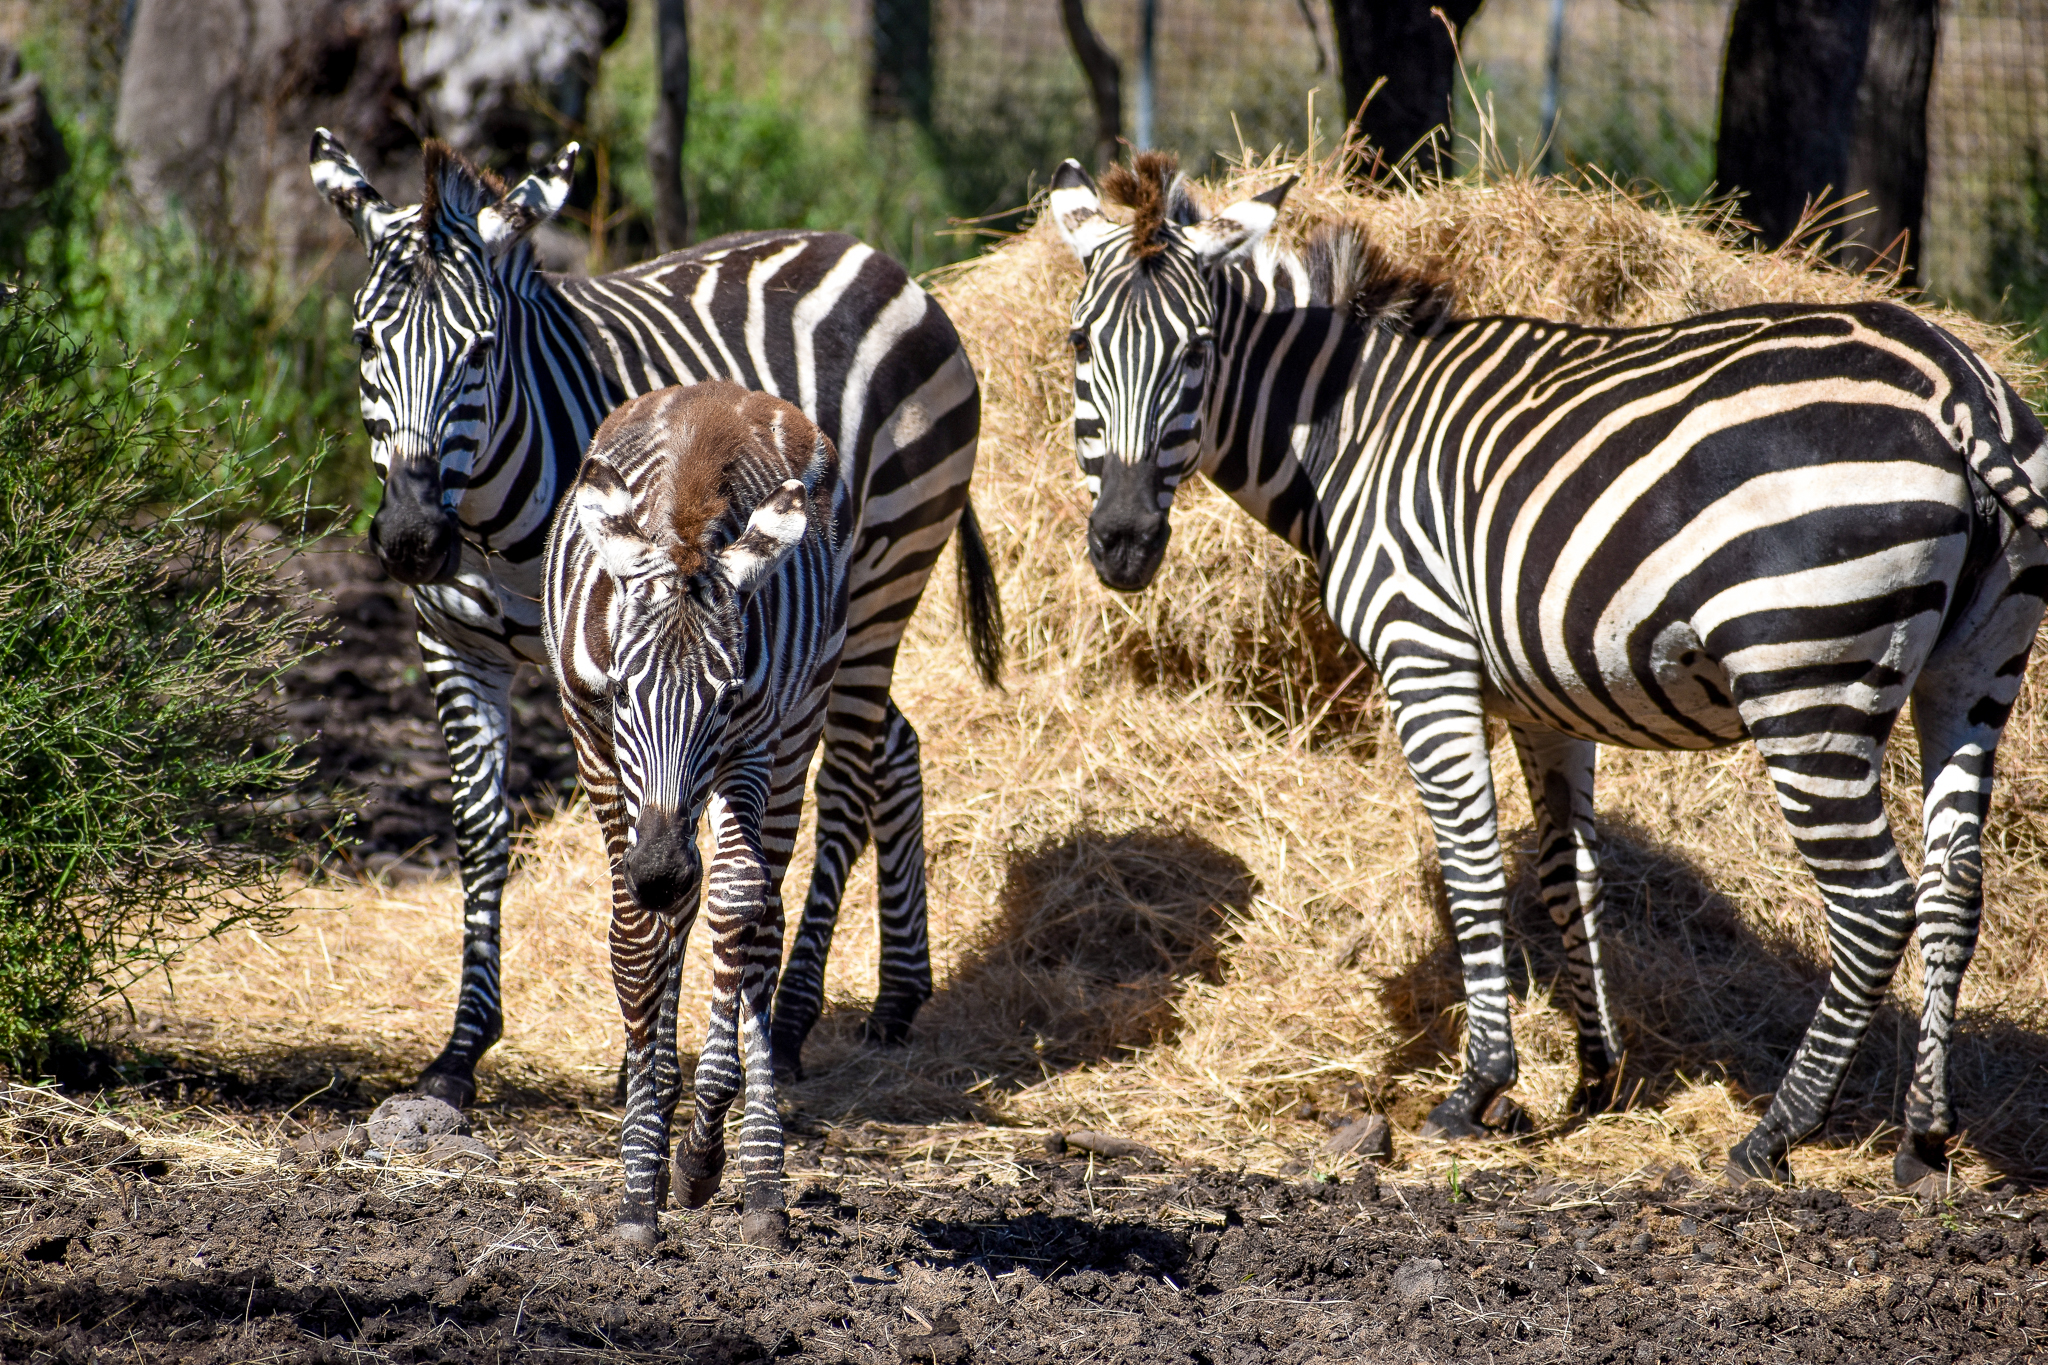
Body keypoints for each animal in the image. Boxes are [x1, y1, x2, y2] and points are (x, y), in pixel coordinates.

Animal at [308, 131, 999, 1111]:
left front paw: (649, 1056)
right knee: (895, 746)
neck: (487, 516)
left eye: (481, 350)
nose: (410, 540)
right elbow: (481, 832)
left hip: (880, 583)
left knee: (848, 783)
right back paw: (900, 993)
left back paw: (794, 1023)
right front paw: (460, 1050)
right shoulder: (455, 647)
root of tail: (873, 256)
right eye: (366, 340)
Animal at [546, 381, 847, 1249]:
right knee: (679, 919)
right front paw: (637, 1182)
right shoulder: (593, 740)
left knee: (757, 914)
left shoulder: (753, 737)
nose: (659, 866)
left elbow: (736, 908)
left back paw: (757, 1170)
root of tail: (723, 390)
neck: (683, 516)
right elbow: (636, 939)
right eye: (621, 691)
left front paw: (703, 1152)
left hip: (800, 727)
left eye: (727, 695)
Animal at [1048, 152, 2048, 1188]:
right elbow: (1570, 871)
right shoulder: (1545, 696)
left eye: (1198, 351)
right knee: (1953, 890)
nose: (1122, 544)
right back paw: (1922, 1137)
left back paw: (1776, 1131)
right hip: (1975, 670)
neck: (1346, 433)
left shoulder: (1424, 653)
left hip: (1804, 678)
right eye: (1081, 344)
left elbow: (1474, 867)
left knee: (1875, 902)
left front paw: (1479, 1087)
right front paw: (1596, 1078)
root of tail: (1956, 385)